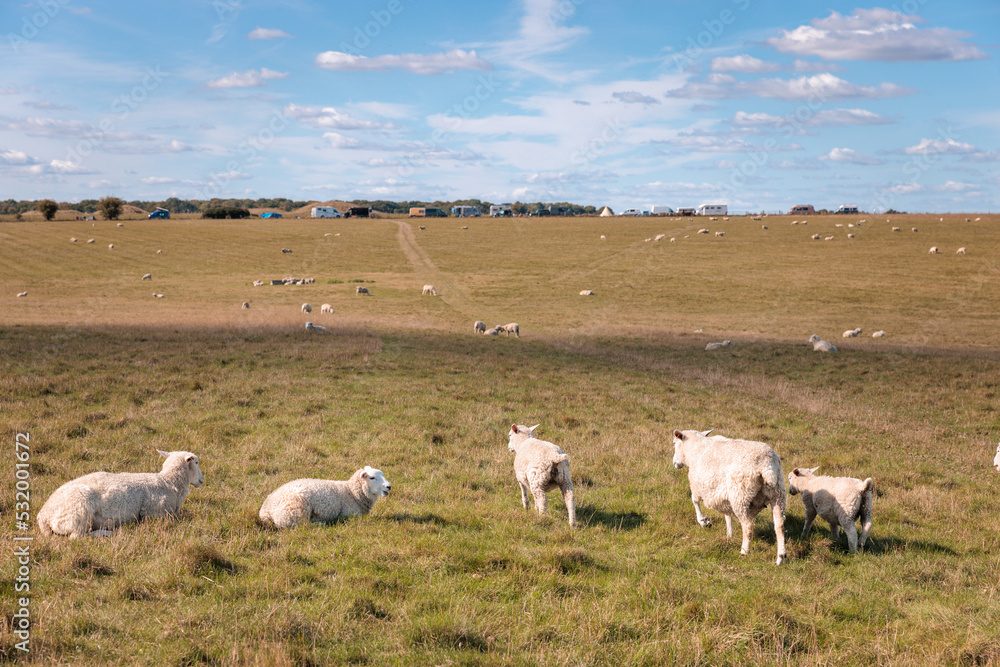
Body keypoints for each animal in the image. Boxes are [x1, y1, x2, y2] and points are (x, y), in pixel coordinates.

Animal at [37, 450, 204, 538]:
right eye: (196, 462)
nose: (202, 479)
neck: (167, 482)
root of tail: (43, 516)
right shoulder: (156, 514)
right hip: (79, 510)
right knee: (77, 536)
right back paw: (106, 532)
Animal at [259, 466, 391, 529]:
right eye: (372, 478)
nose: (389, 486)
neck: (351, 492)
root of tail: (265, 511)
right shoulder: (350, 515)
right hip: (295, 511)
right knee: (302, 525)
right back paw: (320, 523)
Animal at [672, 429, 787, 565]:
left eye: (674, 443)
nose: (674, 462)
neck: (695, 448)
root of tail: (767, 465)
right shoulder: (724, 495)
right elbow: (728, 515)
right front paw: (729, 535)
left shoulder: (697, 485)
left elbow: (694, 500)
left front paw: (704, 521)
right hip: (777, 493)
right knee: (779, 525)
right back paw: (781, 557)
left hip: (740, 495)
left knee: (748, 525)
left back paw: (744, 551)